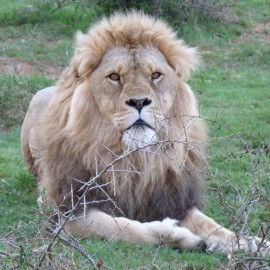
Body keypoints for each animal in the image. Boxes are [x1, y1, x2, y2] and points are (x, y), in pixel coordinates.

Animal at [20, 11, 268, 254]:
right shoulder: (65, 211)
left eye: (155, 75)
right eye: (114, 77)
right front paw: (178, 235)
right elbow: (121, 227)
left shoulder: (172, 200)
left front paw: (252, 242)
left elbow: (211, 225)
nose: (139, 101)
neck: (135, 159)